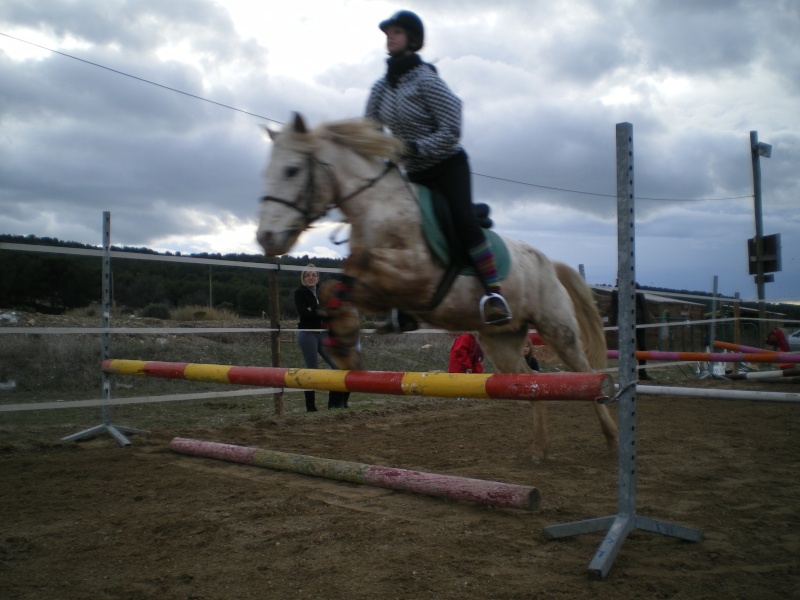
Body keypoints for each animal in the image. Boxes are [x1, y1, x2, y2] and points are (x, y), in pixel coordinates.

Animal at [256, 113, 620, 460]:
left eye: (291, 170)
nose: (266, 238)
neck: (379, 208)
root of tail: (549, 262)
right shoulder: (378, 289)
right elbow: (337, 286)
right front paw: (344, 344)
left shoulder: (418, 278)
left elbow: (360, 259)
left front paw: (345, 342)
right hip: (500, 341)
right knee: (529, 383)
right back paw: (539, 448)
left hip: (557, 327)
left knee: (585, 373)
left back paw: (612, 438)